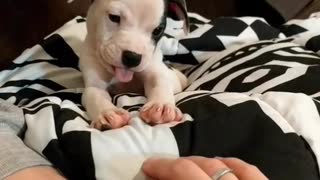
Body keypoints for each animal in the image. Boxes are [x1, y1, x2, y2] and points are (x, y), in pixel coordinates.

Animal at [80, 0, 189, 130]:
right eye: (114, 17)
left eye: (157, 30)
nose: (133, 58)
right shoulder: (94, 84)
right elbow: (96, 96)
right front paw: (107, 113)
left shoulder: (154, 69)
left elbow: (159, 82)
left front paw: (161, 106)